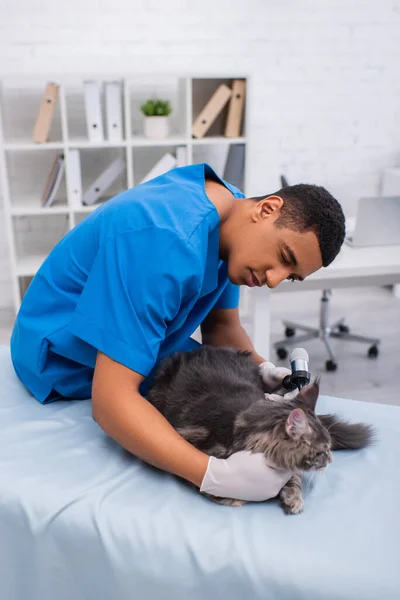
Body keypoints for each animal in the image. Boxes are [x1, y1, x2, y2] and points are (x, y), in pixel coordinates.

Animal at [147, 344, 376, 512]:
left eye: (329, 447)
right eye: (323, 449)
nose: (331, 459)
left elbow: (294, 478)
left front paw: (293, 497)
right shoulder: (191, 441)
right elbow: (204, 478)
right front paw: (232, 497)